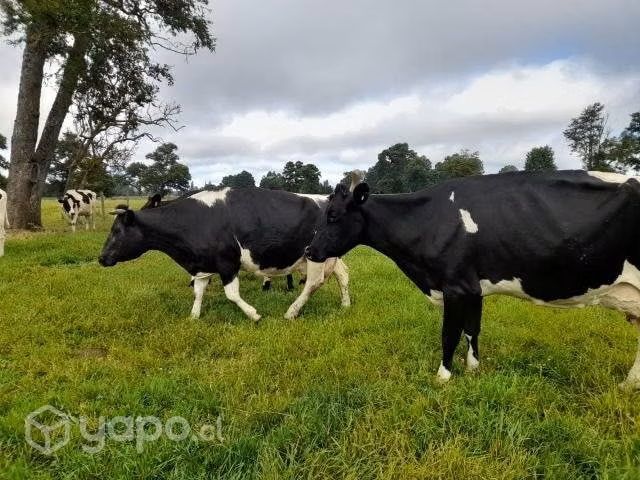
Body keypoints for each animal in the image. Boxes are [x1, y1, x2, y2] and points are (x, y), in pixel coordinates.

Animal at [99, 187, 350, 321]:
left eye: (117, 231)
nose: (101, 258)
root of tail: (325, 199)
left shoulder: (227, 262)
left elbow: (231, 294)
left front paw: (254, 315)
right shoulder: (203, 264)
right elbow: (199, 291)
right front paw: (194, 316)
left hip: (314, 257)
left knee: (313, 283)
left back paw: (291, 312)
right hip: (327, 255)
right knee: (343, 275)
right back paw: (345, 304)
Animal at [304, 170, 640, 390]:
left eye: (333, 215)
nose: (309, 250)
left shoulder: (455, 286)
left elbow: (449, 333)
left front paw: (443, 376)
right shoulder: (473, 289)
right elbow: (472, 330)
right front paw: (473, 368)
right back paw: (628, 385)